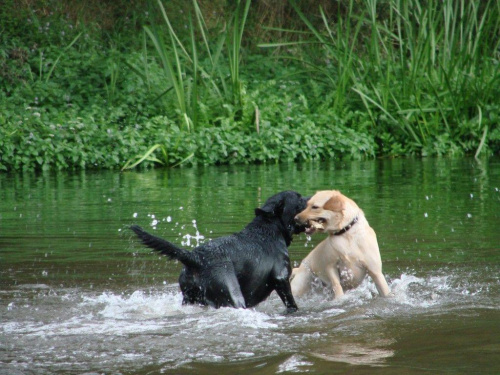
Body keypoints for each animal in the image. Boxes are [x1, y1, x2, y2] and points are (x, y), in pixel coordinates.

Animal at [130, 191, 308, 312]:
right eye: (299, 198)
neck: (270, 229)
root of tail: (195, 257)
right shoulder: (281, 278)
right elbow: (291, 303)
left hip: (189, 296)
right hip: (232, 294)